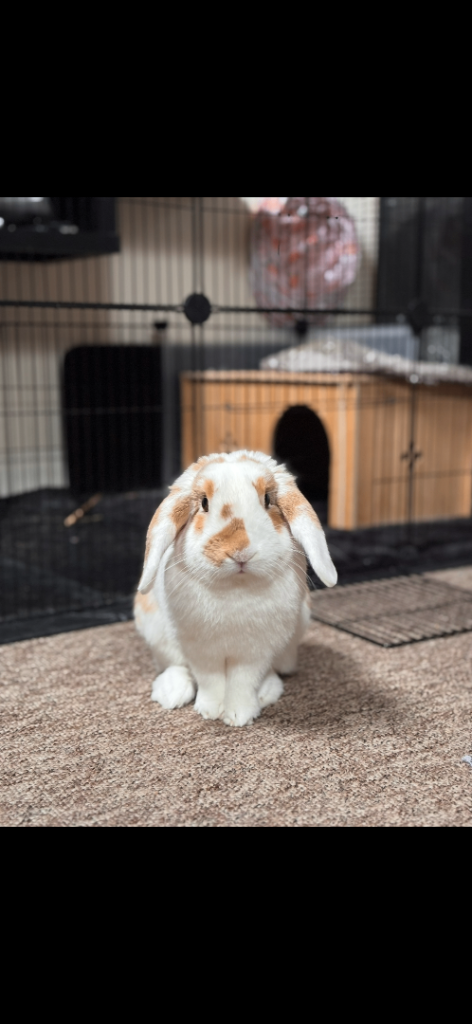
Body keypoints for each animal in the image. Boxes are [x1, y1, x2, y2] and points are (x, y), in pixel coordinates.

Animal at [134, 450, 337, 727]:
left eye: (267, 499)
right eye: (204, 503)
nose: (241, 551)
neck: (236, 587)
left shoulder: (256, 650)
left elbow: (244, 680)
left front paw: (239, 716)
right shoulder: (199, 648)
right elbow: (210, 680)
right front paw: (209, 710)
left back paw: (266, 691)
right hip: (156, 633)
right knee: (174, 665)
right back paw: (171, 693)